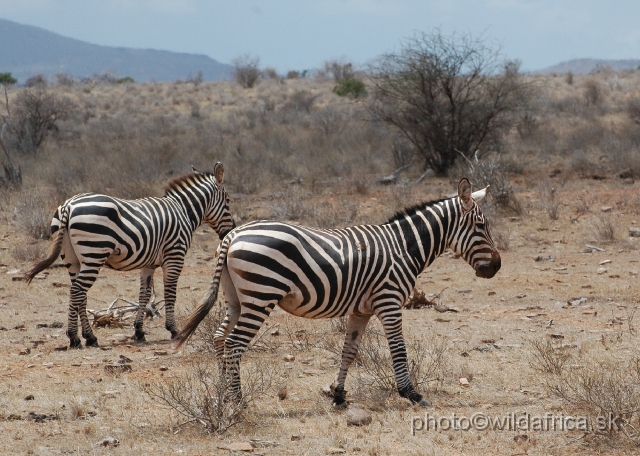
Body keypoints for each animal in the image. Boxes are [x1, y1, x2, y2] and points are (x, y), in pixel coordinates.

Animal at [25, 164, 236, 350]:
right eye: (228, 200)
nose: (230, 230)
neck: (183, 211)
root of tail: (68, 205)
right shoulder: (174, 256)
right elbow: (170, 294)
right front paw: (174, 330)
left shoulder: (148, 264)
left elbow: (144, 295)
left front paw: (139, 331)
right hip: (94, 253)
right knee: (77, 291)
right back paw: (74, 338)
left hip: (73, 259)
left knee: (80, 294)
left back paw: (89, 337)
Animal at [175, 177, 500, 406]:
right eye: (481, 226)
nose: (496, 266)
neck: (403, 247)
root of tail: (231, 235)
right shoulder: (390, 301)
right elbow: (398, 349)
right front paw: (411, 393)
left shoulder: (361, 310)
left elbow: (349, 351)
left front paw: (339, 395)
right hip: (261, 295)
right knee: (234, 344)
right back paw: (239, 401)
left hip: (235, 297)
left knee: (219, 339)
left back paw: (223, 394)